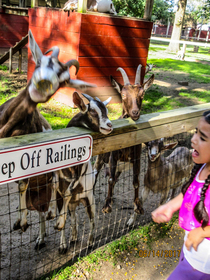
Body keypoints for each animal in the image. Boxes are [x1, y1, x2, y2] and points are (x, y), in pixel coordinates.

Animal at [1, 29, 95, 233]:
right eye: (39, 63)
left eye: (65, 81)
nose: (43, 84)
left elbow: (23, 184)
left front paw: (23, 221)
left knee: (54, 185)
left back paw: (51, 213)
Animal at [93, 64, 154, 225]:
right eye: (123, 95)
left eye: (142, 94)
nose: (135, 112)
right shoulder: (113, 157)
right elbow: (109, 179)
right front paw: (106, 207)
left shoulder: (136, 158)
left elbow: (136, 181)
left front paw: (138, 207)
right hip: (101, 159)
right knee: (97, 174)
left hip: (120, 168)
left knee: (115, 179)